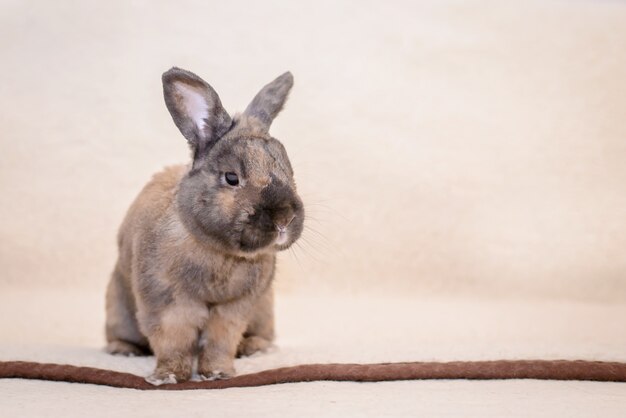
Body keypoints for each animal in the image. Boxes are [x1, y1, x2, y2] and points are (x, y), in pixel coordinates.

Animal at [104, 68, 302, 386]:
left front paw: (218, 373)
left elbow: (221, 341)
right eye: (231, 178)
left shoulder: (235, 308)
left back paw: (256, 348)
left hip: (264, 310)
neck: (219, 252)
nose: (284, 219)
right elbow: (173, 341)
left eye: (290, 172)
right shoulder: (168, 304)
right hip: (118, 306)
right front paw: (169, 376)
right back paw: (123, 350)